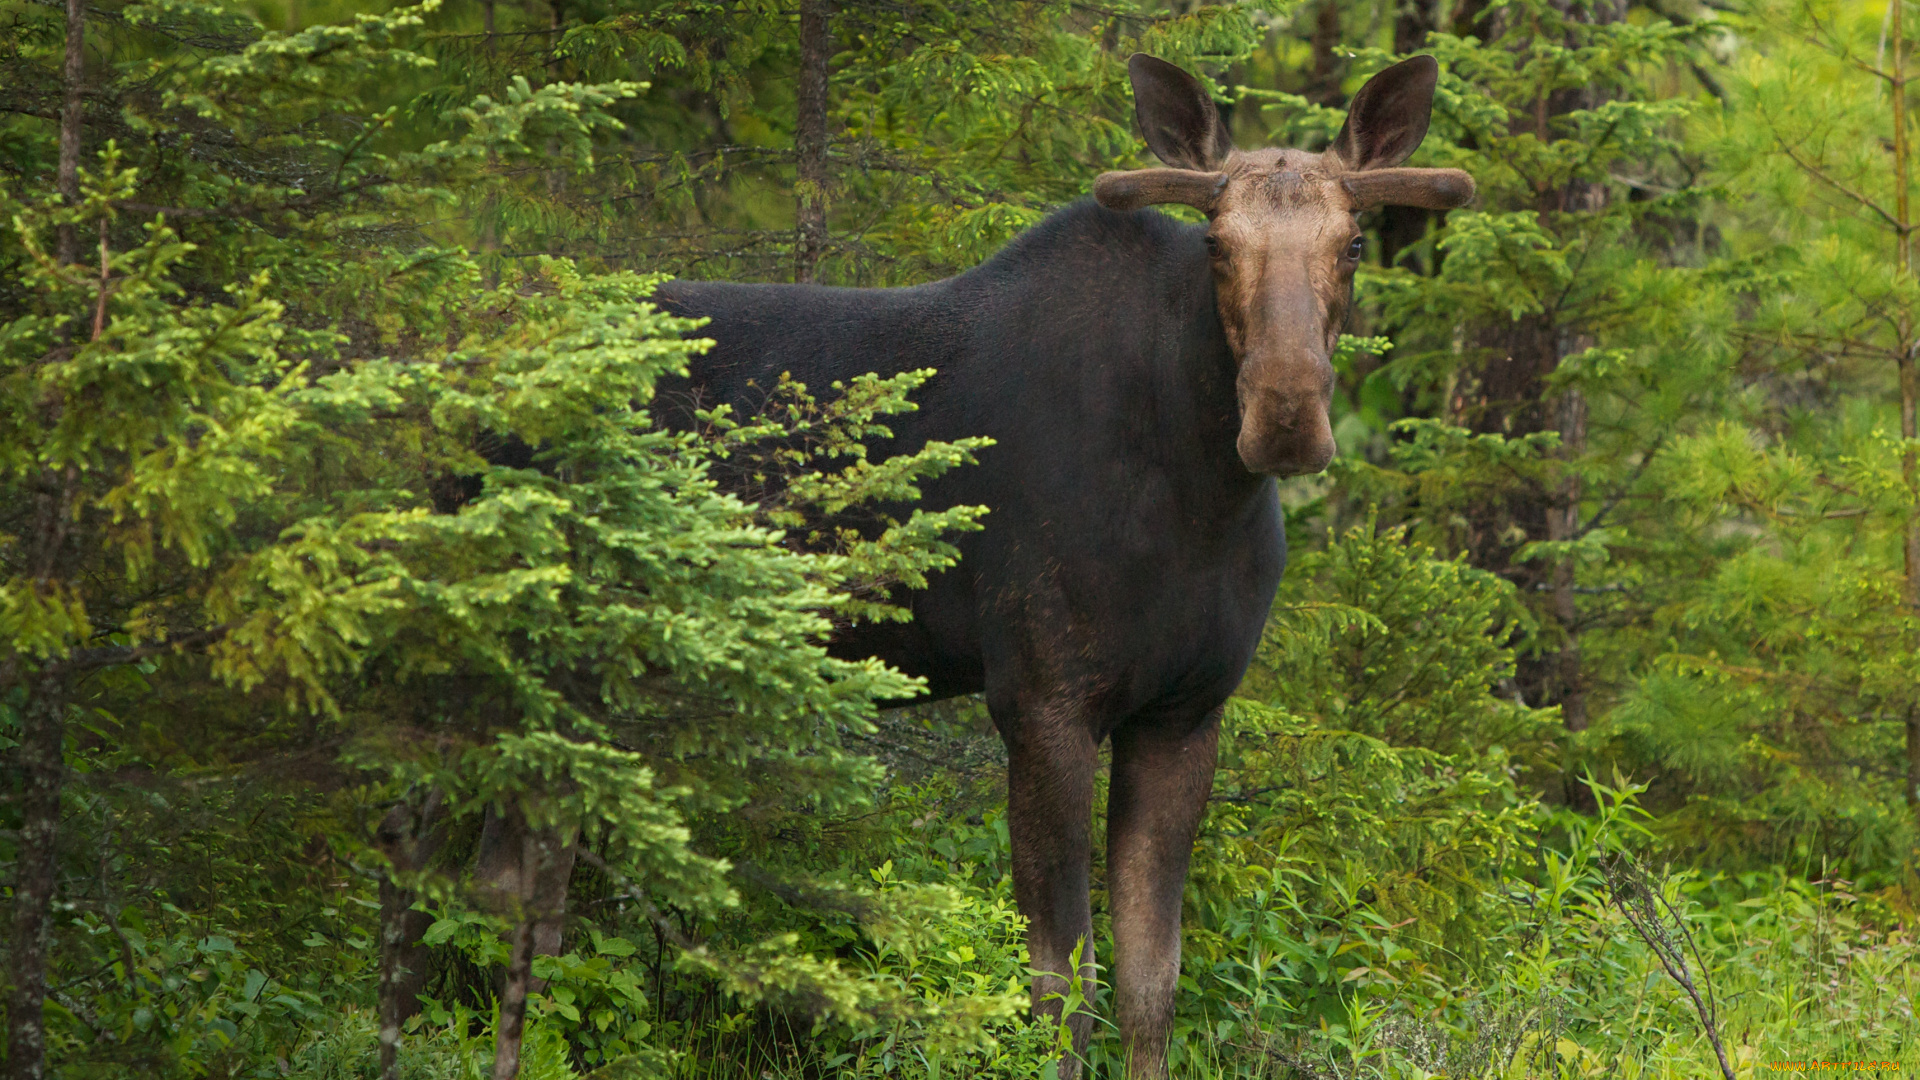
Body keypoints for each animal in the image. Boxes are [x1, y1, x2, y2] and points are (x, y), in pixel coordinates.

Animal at [645, 50, 1466, 1068]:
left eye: (1354, 244)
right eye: (1215, 243)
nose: (1284, 413)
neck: (1200, 498)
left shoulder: (1184, 713)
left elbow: (1150, 985)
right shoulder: (1040, 702)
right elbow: (1060, 989)